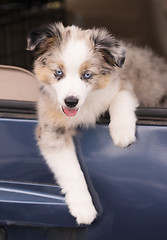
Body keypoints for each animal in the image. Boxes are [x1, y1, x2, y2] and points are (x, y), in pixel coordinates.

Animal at [26, 23, 167, 225]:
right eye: (58, 72)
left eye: (87, 75)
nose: (71, 102)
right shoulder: (51, 130)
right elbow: (71, 171)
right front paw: (84, 209)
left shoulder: (121, 85)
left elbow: (121, 99)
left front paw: (122, 133)